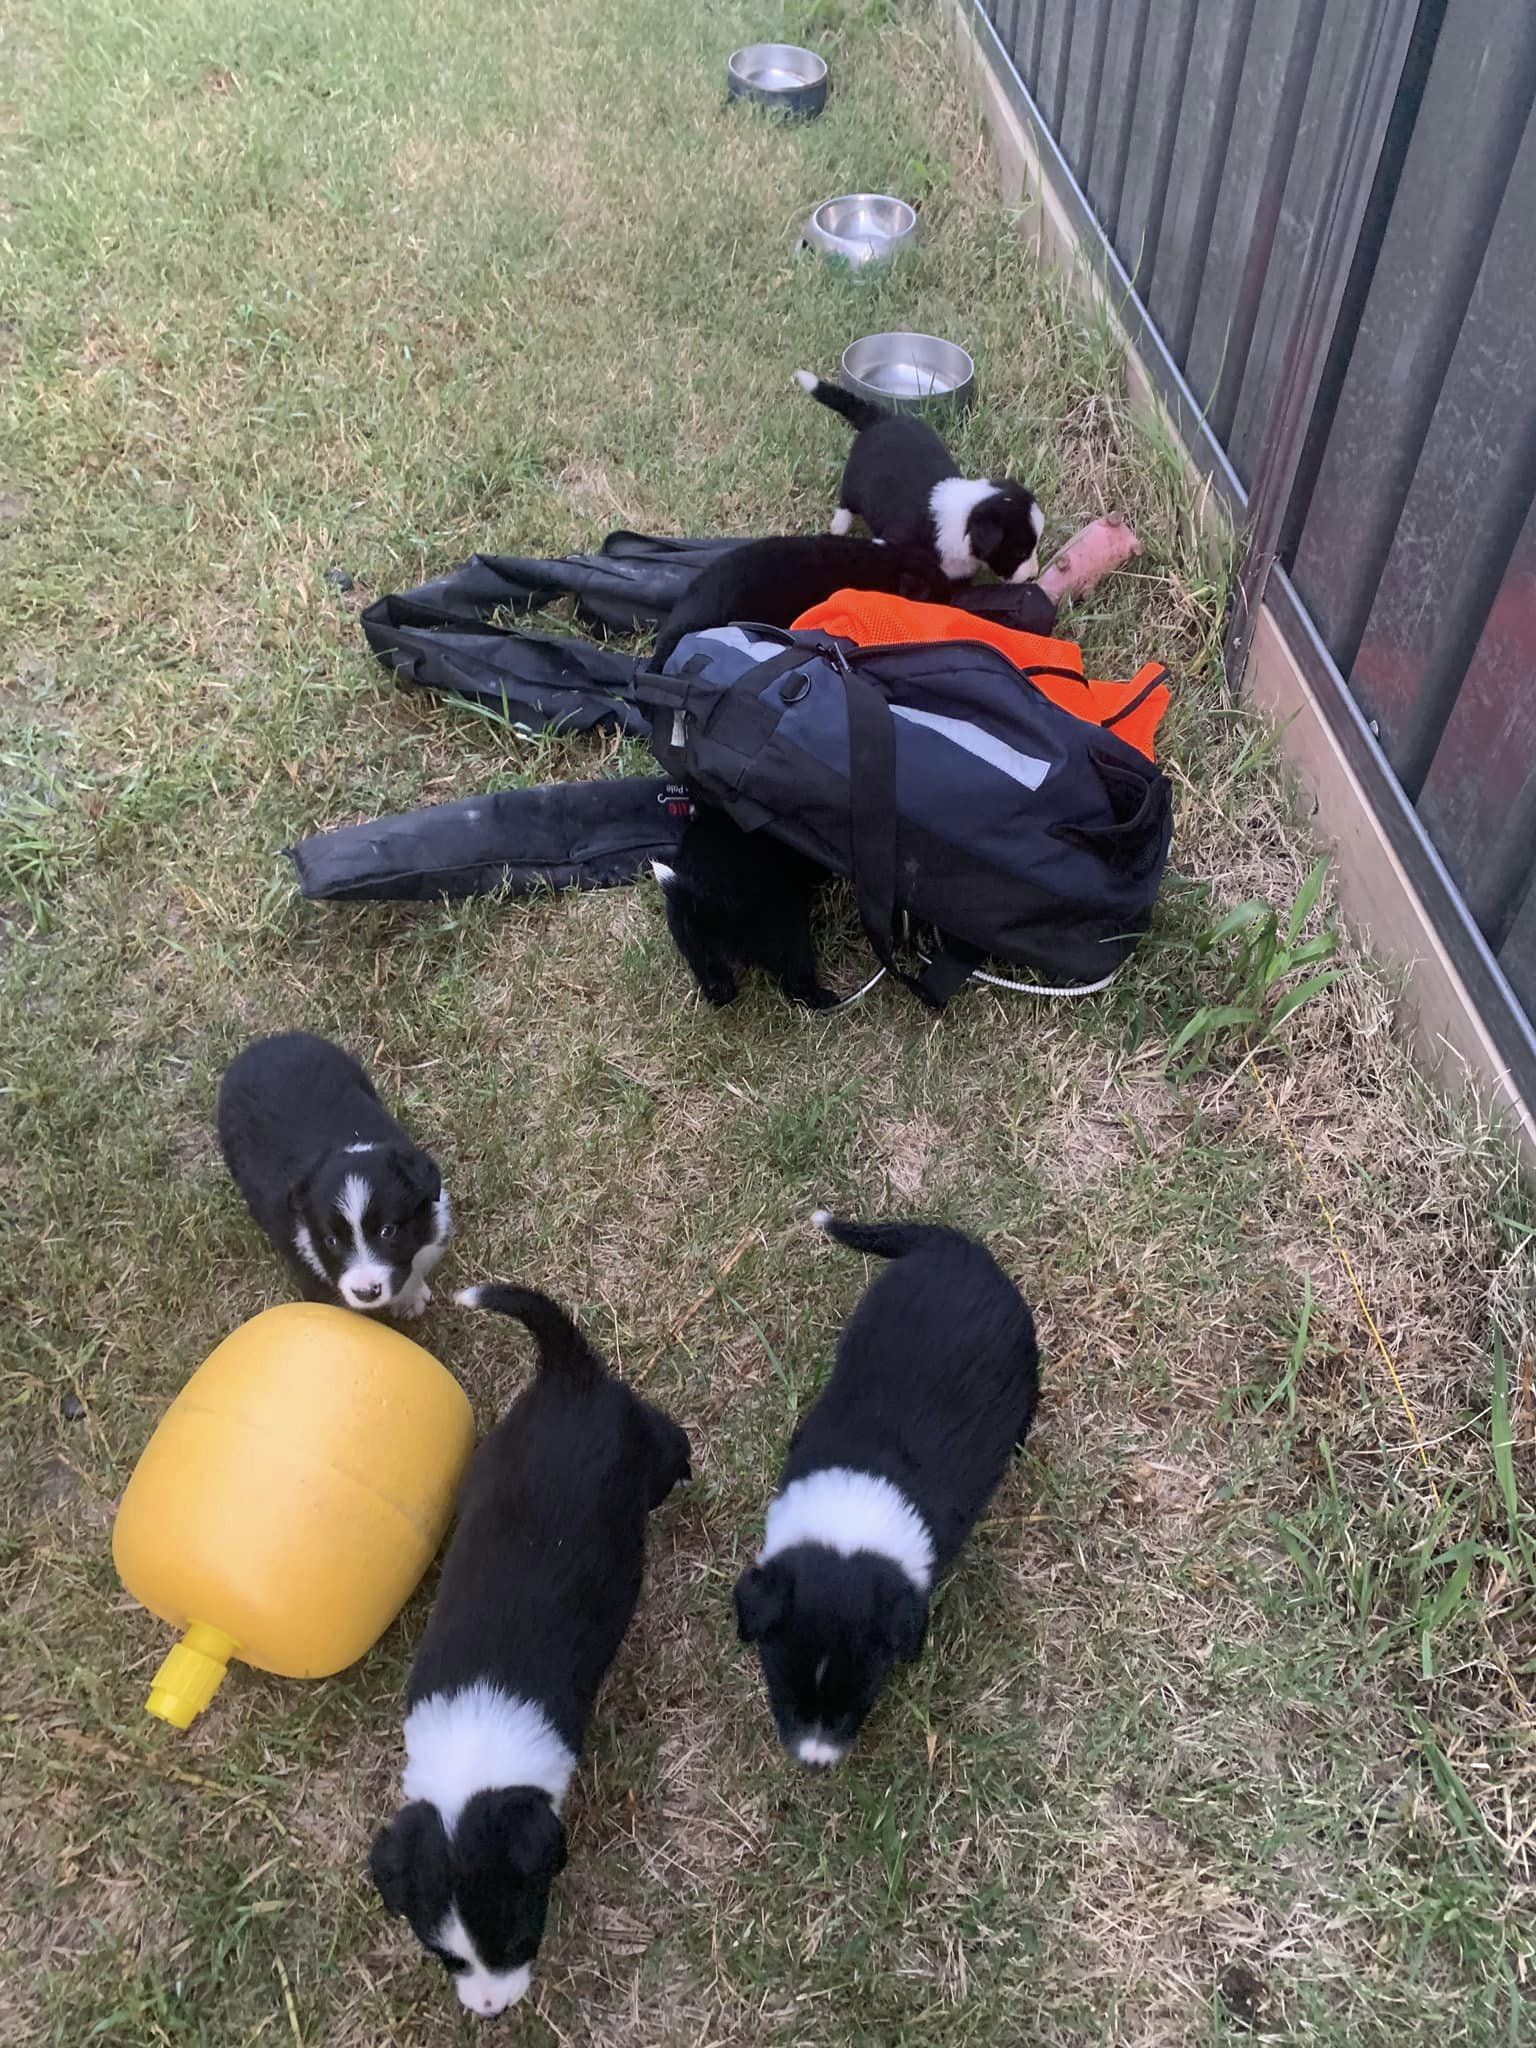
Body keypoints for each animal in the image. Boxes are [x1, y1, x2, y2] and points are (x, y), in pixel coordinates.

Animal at [370, 1286, 691, 2018]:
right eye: (447, 1958)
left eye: (519, 1940)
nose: (490, 2011)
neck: (474, 1754)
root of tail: (568, 1376)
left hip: (651, 1448)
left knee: (674, 1446)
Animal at [795, 371, 1044, 584]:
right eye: (1020, 551)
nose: (1033, 576)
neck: (962, 522)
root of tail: (881, 418)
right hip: (855, 482)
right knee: (846, 502)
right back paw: (839, 525)